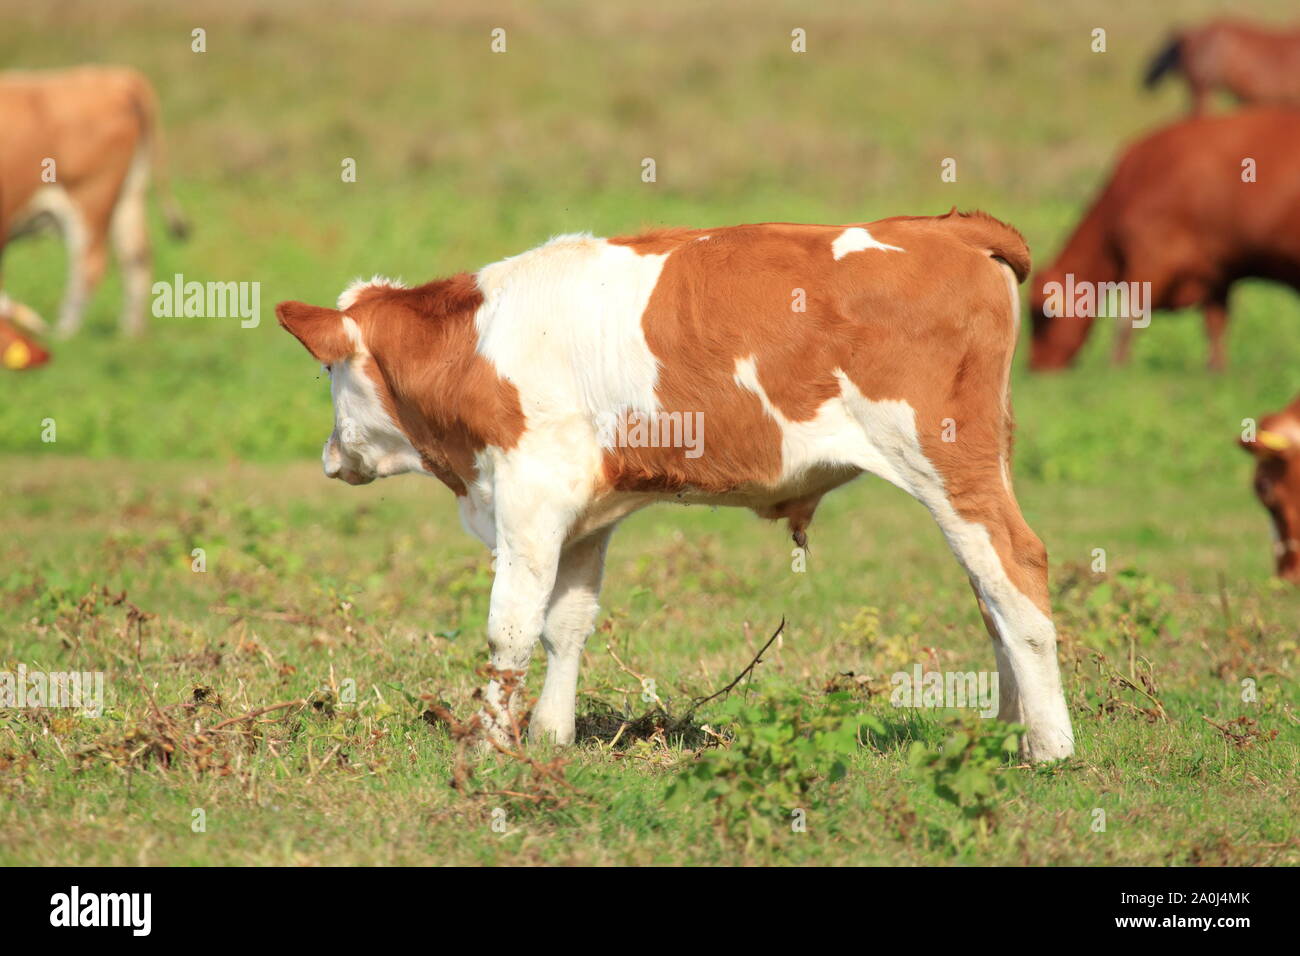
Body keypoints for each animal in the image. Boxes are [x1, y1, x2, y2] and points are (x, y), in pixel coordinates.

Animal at [0, 66, 188, 338]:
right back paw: (129, 333)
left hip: (90, 198)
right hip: (128, 197)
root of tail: (117, 77)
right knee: (137, 255)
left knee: (90, 264)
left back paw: (64, 334)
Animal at [277, 210, 1077, 763]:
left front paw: (487, 744)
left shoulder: (531, 496)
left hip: (945, 462)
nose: (328, 456)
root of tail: (945, 226)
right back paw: (1009, 732)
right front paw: (549, 737)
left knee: (1018, 572)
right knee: (990, 594)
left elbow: (510, 625)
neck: (476, 344)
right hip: (979, 466)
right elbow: (565, 624)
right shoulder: (587, 511)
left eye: (326, 371)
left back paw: (1050, 749)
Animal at [1029, 107, 1300, 372]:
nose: (1035, 367)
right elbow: (1215, 324)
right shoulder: (1216, 271)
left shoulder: (1151, 260)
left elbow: (1126, 319)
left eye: (1042, 314)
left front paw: (1116, 369)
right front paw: (1216, 370)